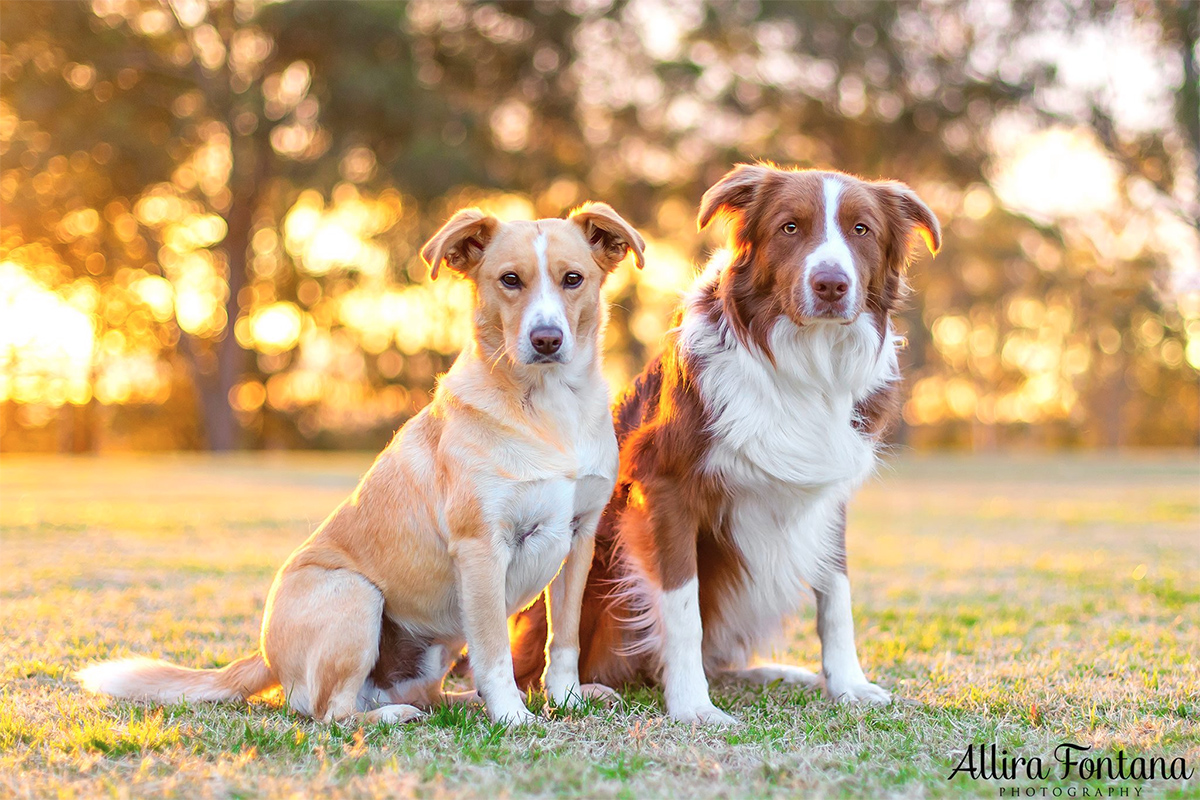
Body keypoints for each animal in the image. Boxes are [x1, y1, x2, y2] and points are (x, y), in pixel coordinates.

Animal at [76, 201, 648, 724]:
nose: (546, 340)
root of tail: (265, 656)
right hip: (358, 594)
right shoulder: (482, 547)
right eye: (510, 280)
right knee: (333, 712)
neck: (549, 409)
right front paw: (512, 715)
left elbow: (565, 638)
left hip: (438, 642)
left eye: (573, 279)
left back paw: (460, 703)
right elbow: (494, 653)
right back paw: (399, 716)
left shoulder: (578, 537)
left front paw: (565, 698)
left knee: (422, 695)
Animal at [511, 163, 940, 724]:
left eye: (861, 229)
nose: (831, 284)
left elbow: (837, 594)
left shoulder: (828, 496)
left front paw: (847, 684)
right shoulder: (665, 489)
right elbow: (682, 609)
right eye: (789, 227)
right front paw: (693, 706)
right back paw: (595, 690)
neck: (806, 362)